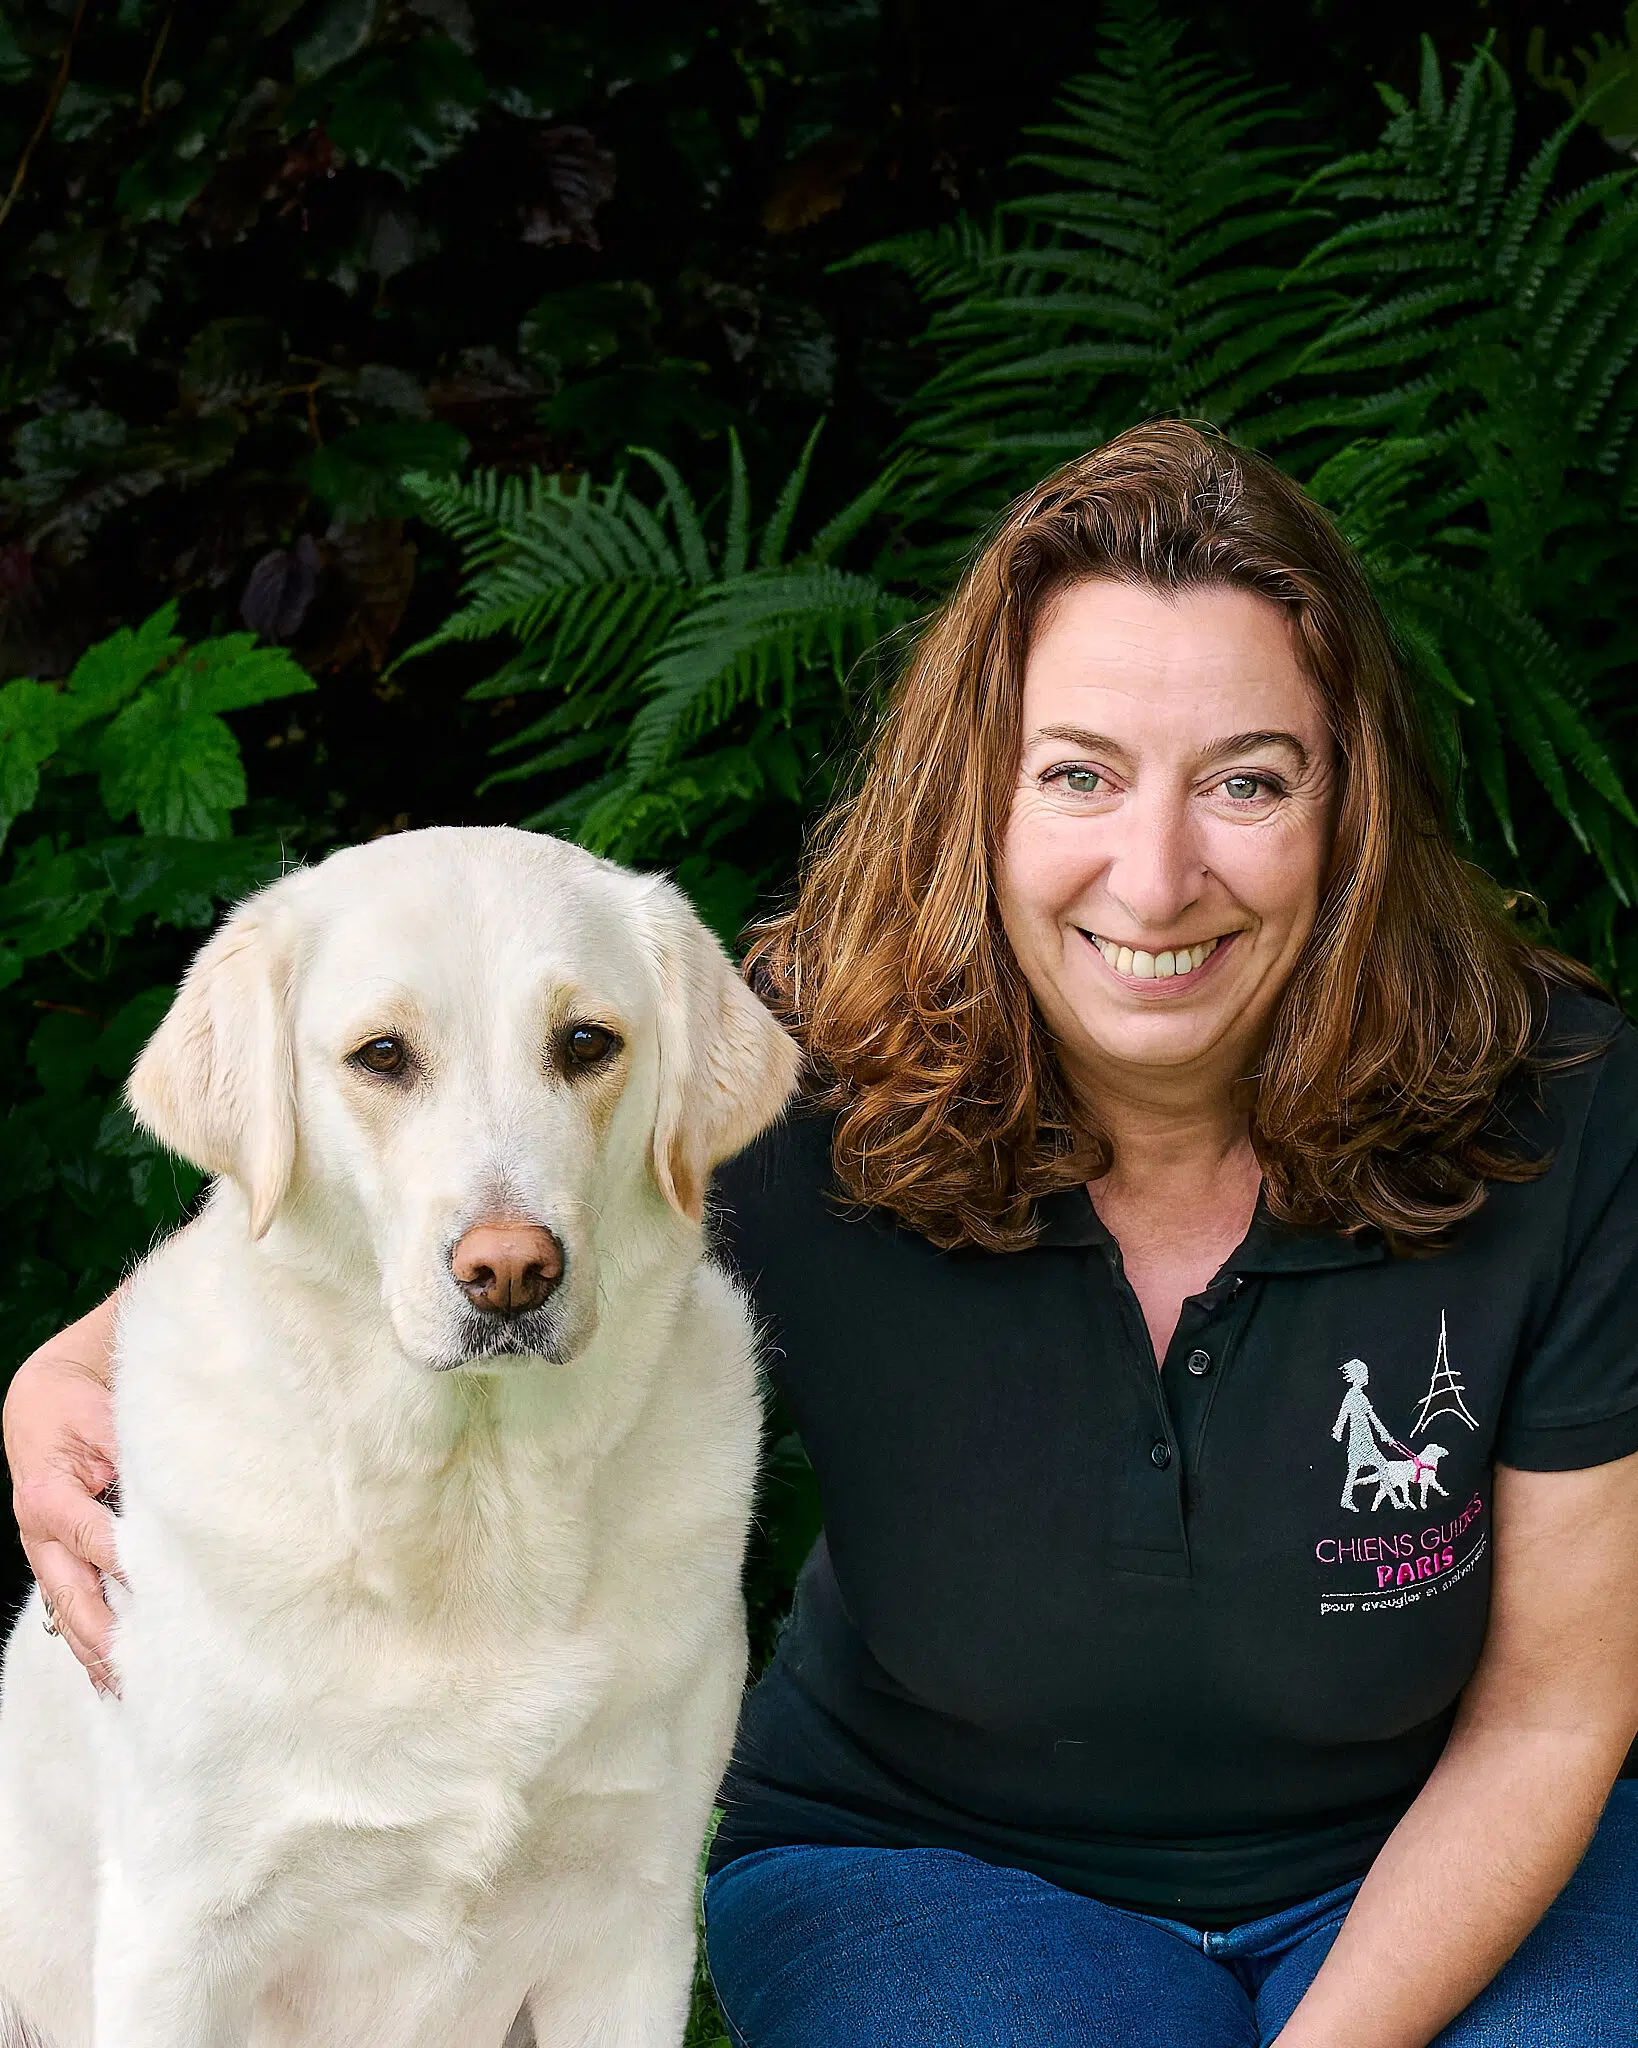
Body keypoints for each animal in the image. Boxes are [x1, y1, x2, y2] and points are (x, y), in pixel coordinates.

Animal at [0, 823, 798, 2048]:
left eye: (586, 1041)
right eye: (381, 1055)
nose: (511, 1269)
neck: (468, 1504)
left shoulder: (634, 1921)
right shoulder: (175, 1937)